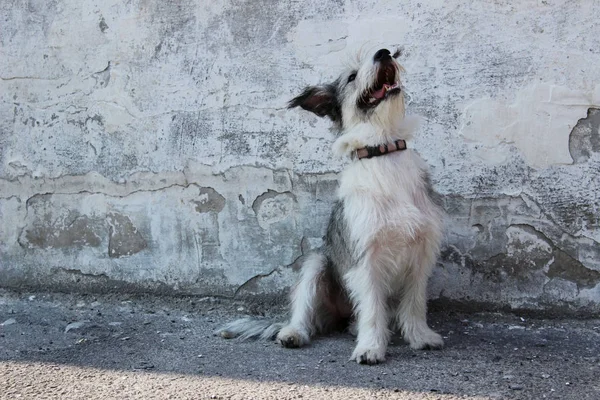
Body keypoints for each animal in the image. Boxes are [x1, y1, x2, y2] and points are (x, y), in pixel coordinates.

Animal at [218, 47, 442, 366]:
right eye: (351, 76)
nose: (384, 53)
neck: (383, 152)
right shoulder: (364, 257)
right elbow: (372, 309)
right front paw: (370, 347)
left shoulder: (421, 254)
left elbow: (414, 303)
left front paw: (420, 336)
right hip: (317, 264)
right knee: (306, 315)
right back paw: (293, 333)